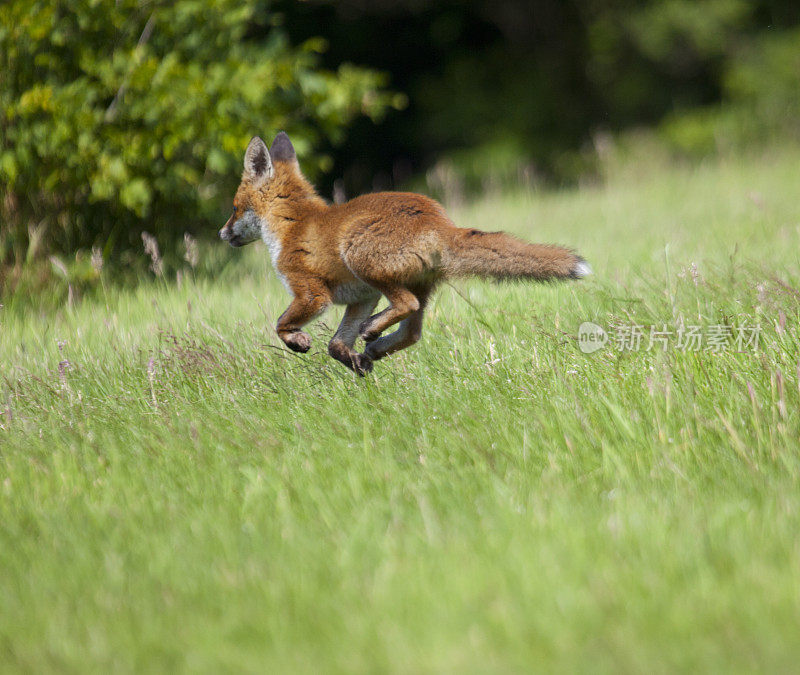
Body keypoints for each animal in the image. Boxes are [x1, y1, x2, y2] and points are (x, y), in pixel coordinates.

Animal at [219, 132, 588, 374]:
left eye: (234, 208)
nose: (222, 234)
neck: (292, 225)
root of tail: (441, 221)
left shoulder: (312, 293)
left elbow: (281, 325)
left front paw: (298, 342)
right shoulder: (362, 298)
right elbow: (336, 345)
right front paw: (357, 364)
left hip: (360, 257)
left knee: (405, 306)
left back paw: (373, 333)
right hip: (416, 286)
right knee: (412, 331)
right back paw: (375, 347)